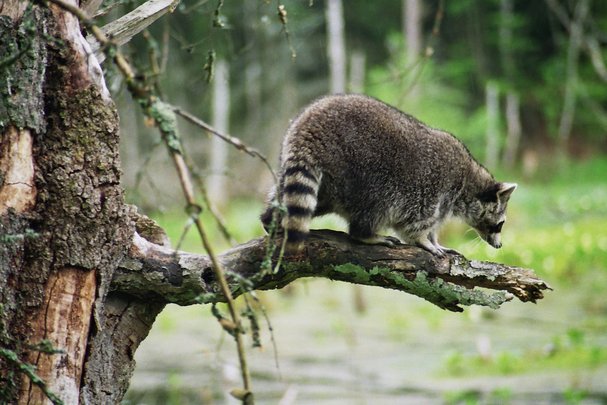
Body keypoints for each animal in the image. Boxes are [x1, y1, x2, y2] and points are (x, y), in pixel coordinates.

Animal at [262, 94, 516, 256]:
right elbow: (419, 221)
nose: (500, 246)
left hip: (324, 178)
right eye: (500, 224)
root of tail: (307, 128)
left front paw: (435, 239)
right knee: (376, 205)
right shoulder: (436, 187)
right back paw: (365, 234)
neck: (470, 182)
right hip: (363, 170)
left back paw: (270, 218)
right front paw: (425, 240)